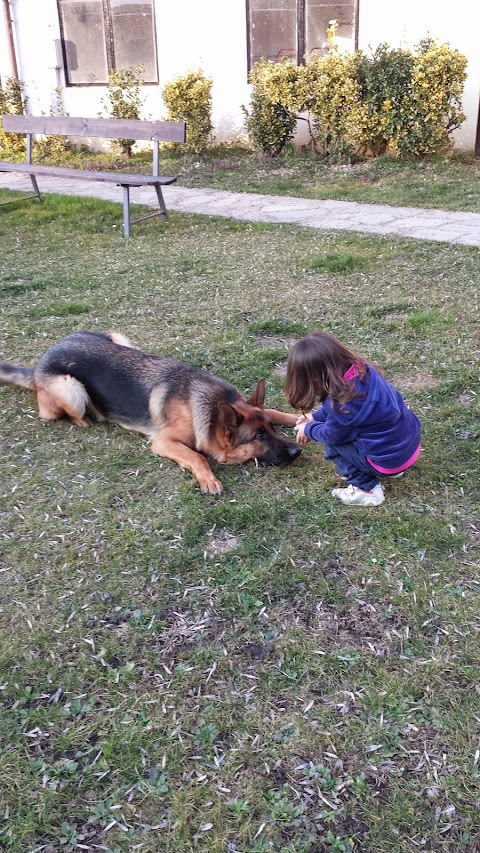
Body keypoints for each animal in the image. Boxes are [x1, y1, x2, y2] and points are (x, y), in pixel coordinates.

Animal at [0, 332, 300, 492]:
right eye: (259, 436)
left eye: (271, 429)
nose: (298, 451)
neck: (212, 409)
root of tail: (40, 363)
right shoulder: (164, 442)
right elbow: (196, 456)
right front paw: (209, 479)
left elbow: (274, 410)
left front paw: (296, 418)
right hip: (71, 389)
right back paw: (86, 419)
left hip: (120, 338)